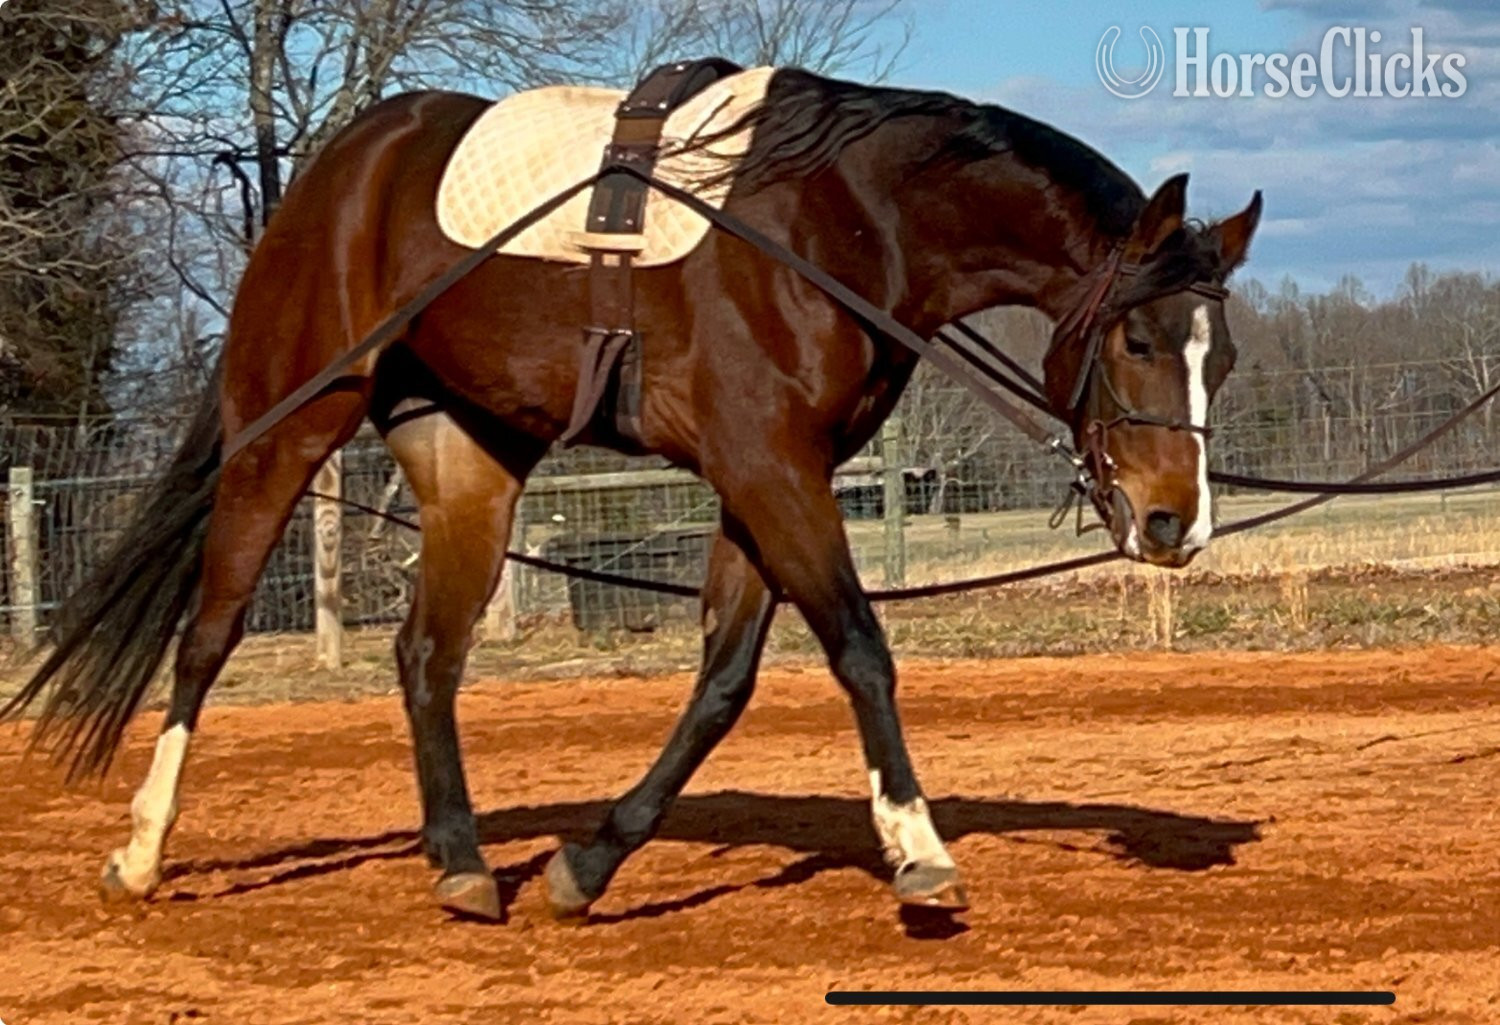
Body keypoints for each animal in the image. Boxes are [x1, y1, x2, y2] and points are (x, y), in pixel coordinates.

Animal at [4, 65, 1261, 923]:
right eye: (1140, 339)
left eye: (1228, 358)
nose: (1175, 524)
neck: (839, 221)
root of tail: (343, 162)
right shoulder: (768, 466)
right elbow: (860, 648)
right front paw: (917, 846)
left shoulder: (767, 479)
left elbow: (723, 682)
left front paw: (587, 861)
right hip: (288, 425)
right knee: (209, 633)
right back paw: (142, 851)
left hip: (468, 460)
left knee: (426, 654)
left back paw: (462, 861)